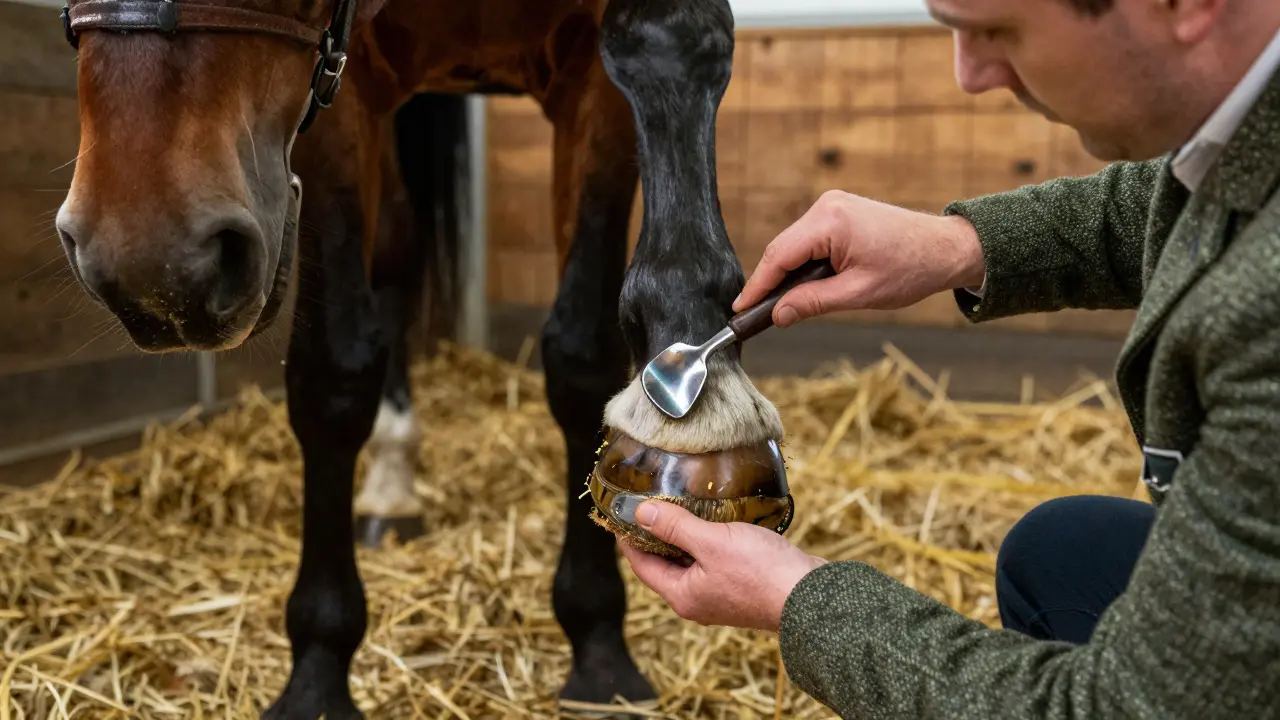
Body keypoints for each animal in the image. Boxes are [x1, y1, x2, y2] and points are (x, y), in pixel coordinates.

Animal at [53, 0, 791, 716]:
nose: (153, 261)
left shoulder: (601, 72)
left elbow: (589, 350)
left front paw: (599, 645)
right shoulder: (338, 81)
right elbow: (335, 375)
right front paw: (317, 670)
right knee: (396, 260)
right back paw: (391, 483)